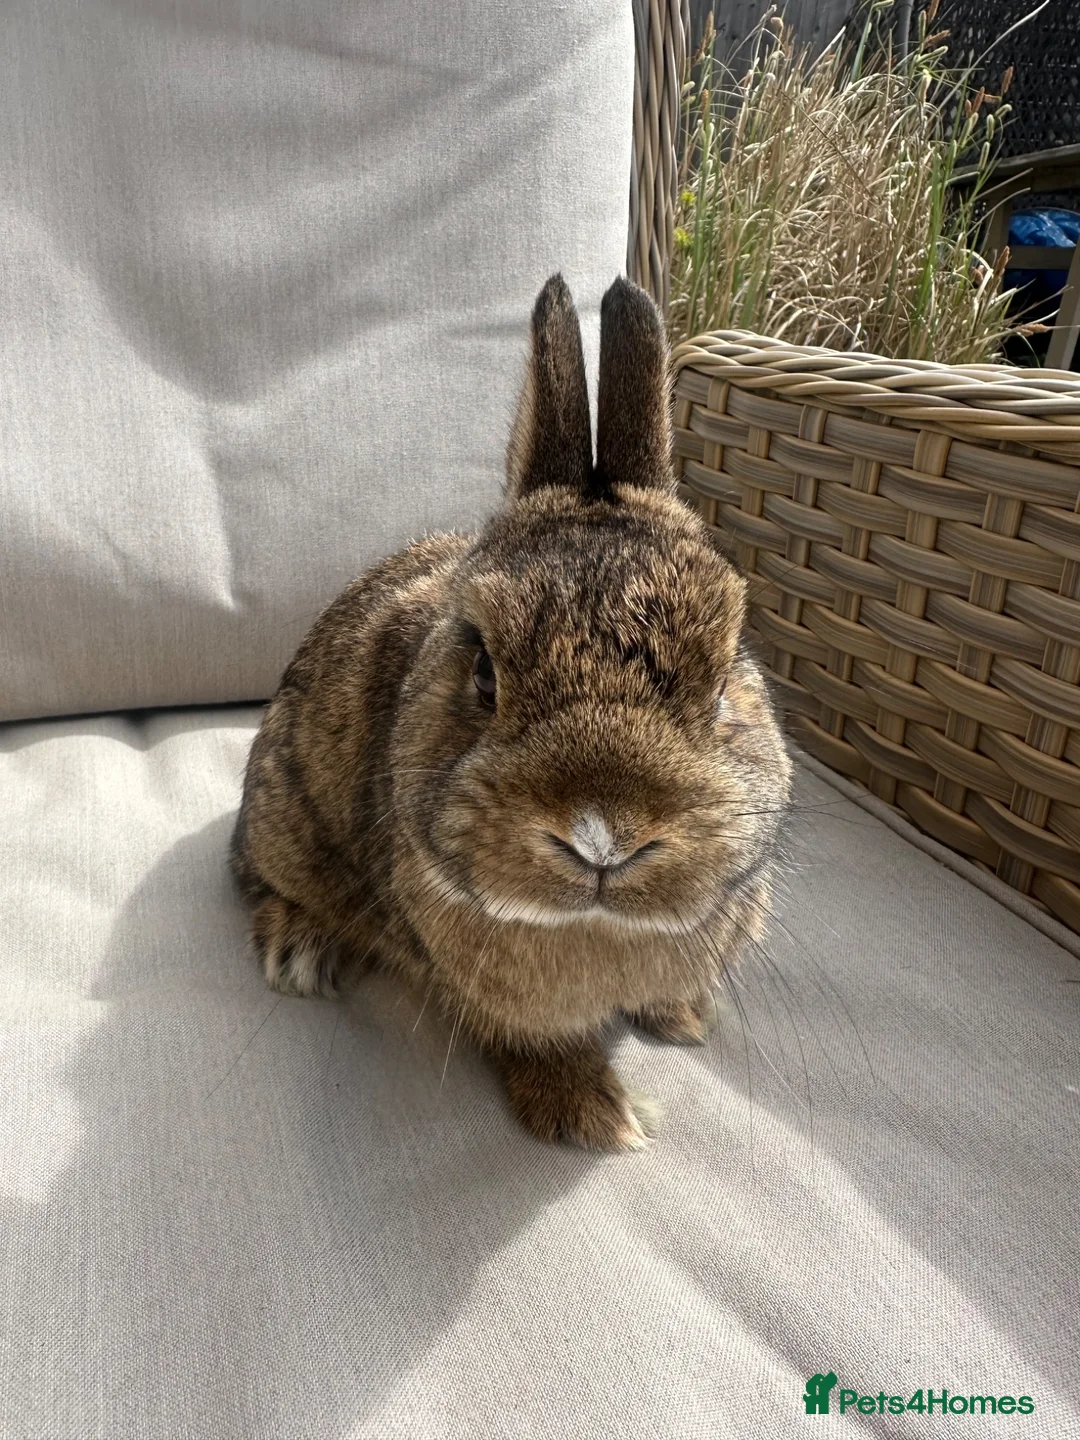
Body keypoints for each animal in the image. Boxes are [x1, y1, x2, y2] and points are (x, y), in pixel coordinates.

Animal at [231, 274, 792, 1151]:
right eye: (484, 673)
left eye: (723, 680)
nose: (603, 837)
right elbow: (530, 1039)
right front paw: (595, 1115)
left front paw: (683, 1018)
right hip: (285, 815)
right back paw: (299, 952)